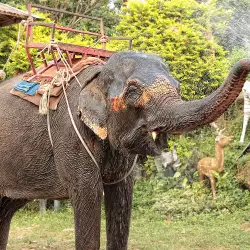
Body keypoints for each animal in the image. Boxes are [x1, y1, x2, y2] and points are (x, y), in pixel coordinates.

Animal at [0, 51, 250, 250]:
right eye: (132, 91)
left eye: (178, 86)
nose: (245, 60)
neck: (98, 75)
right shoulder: (71, 135)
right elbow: (88, 193)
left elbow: (122, 197)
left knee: (6, 210)